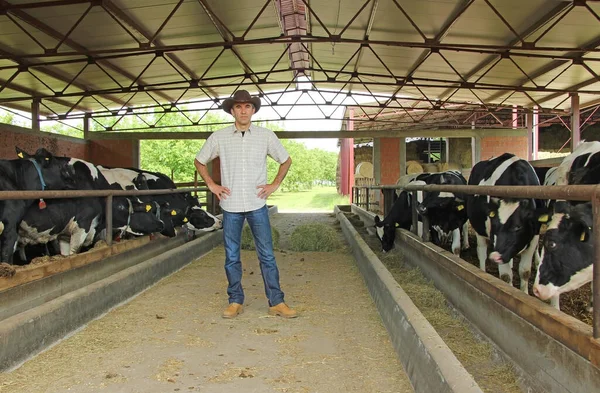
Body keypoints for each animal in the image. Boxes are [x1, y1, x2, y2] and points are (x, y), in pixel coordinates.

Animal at [466, 152, 548, 292]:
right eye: (494, 225)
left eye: (517, 227)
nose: (495, 257)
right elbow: (506, 276)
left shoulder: (534, 237)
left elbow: (525, 271)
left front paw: (524, 292)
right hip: (479, 228)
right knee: (481, 252)